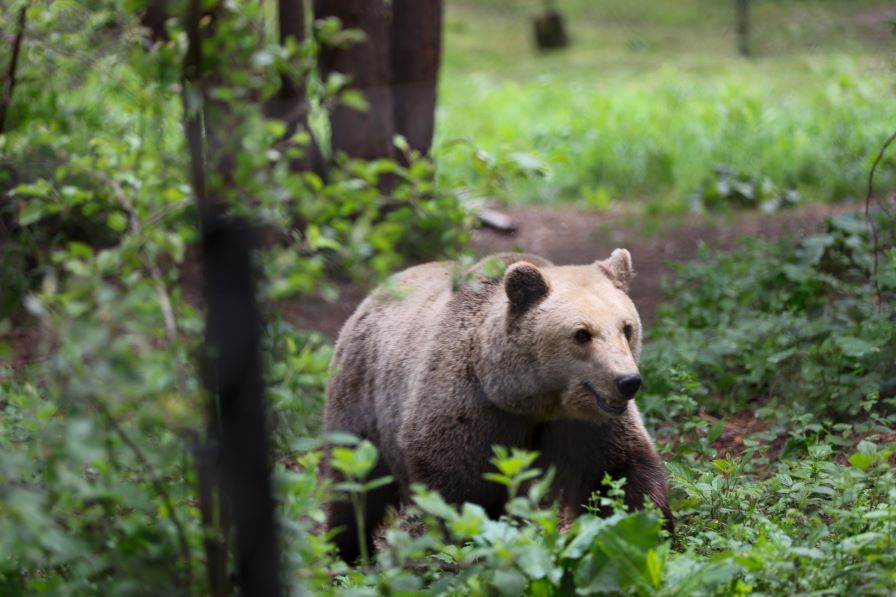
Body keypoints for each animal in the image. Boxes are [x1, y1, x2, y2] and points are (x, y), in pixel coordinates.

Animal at [326, 249, 668, 560]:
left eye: (627, 327)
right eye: (582, 334)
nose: (627, 381)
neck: (531, 400)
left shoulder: (585, 425)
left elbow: (619, 473)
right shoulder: (470, 409)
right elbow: (458, 491)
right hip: (362, 393)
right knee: (355, 480)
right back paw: (347, 549)